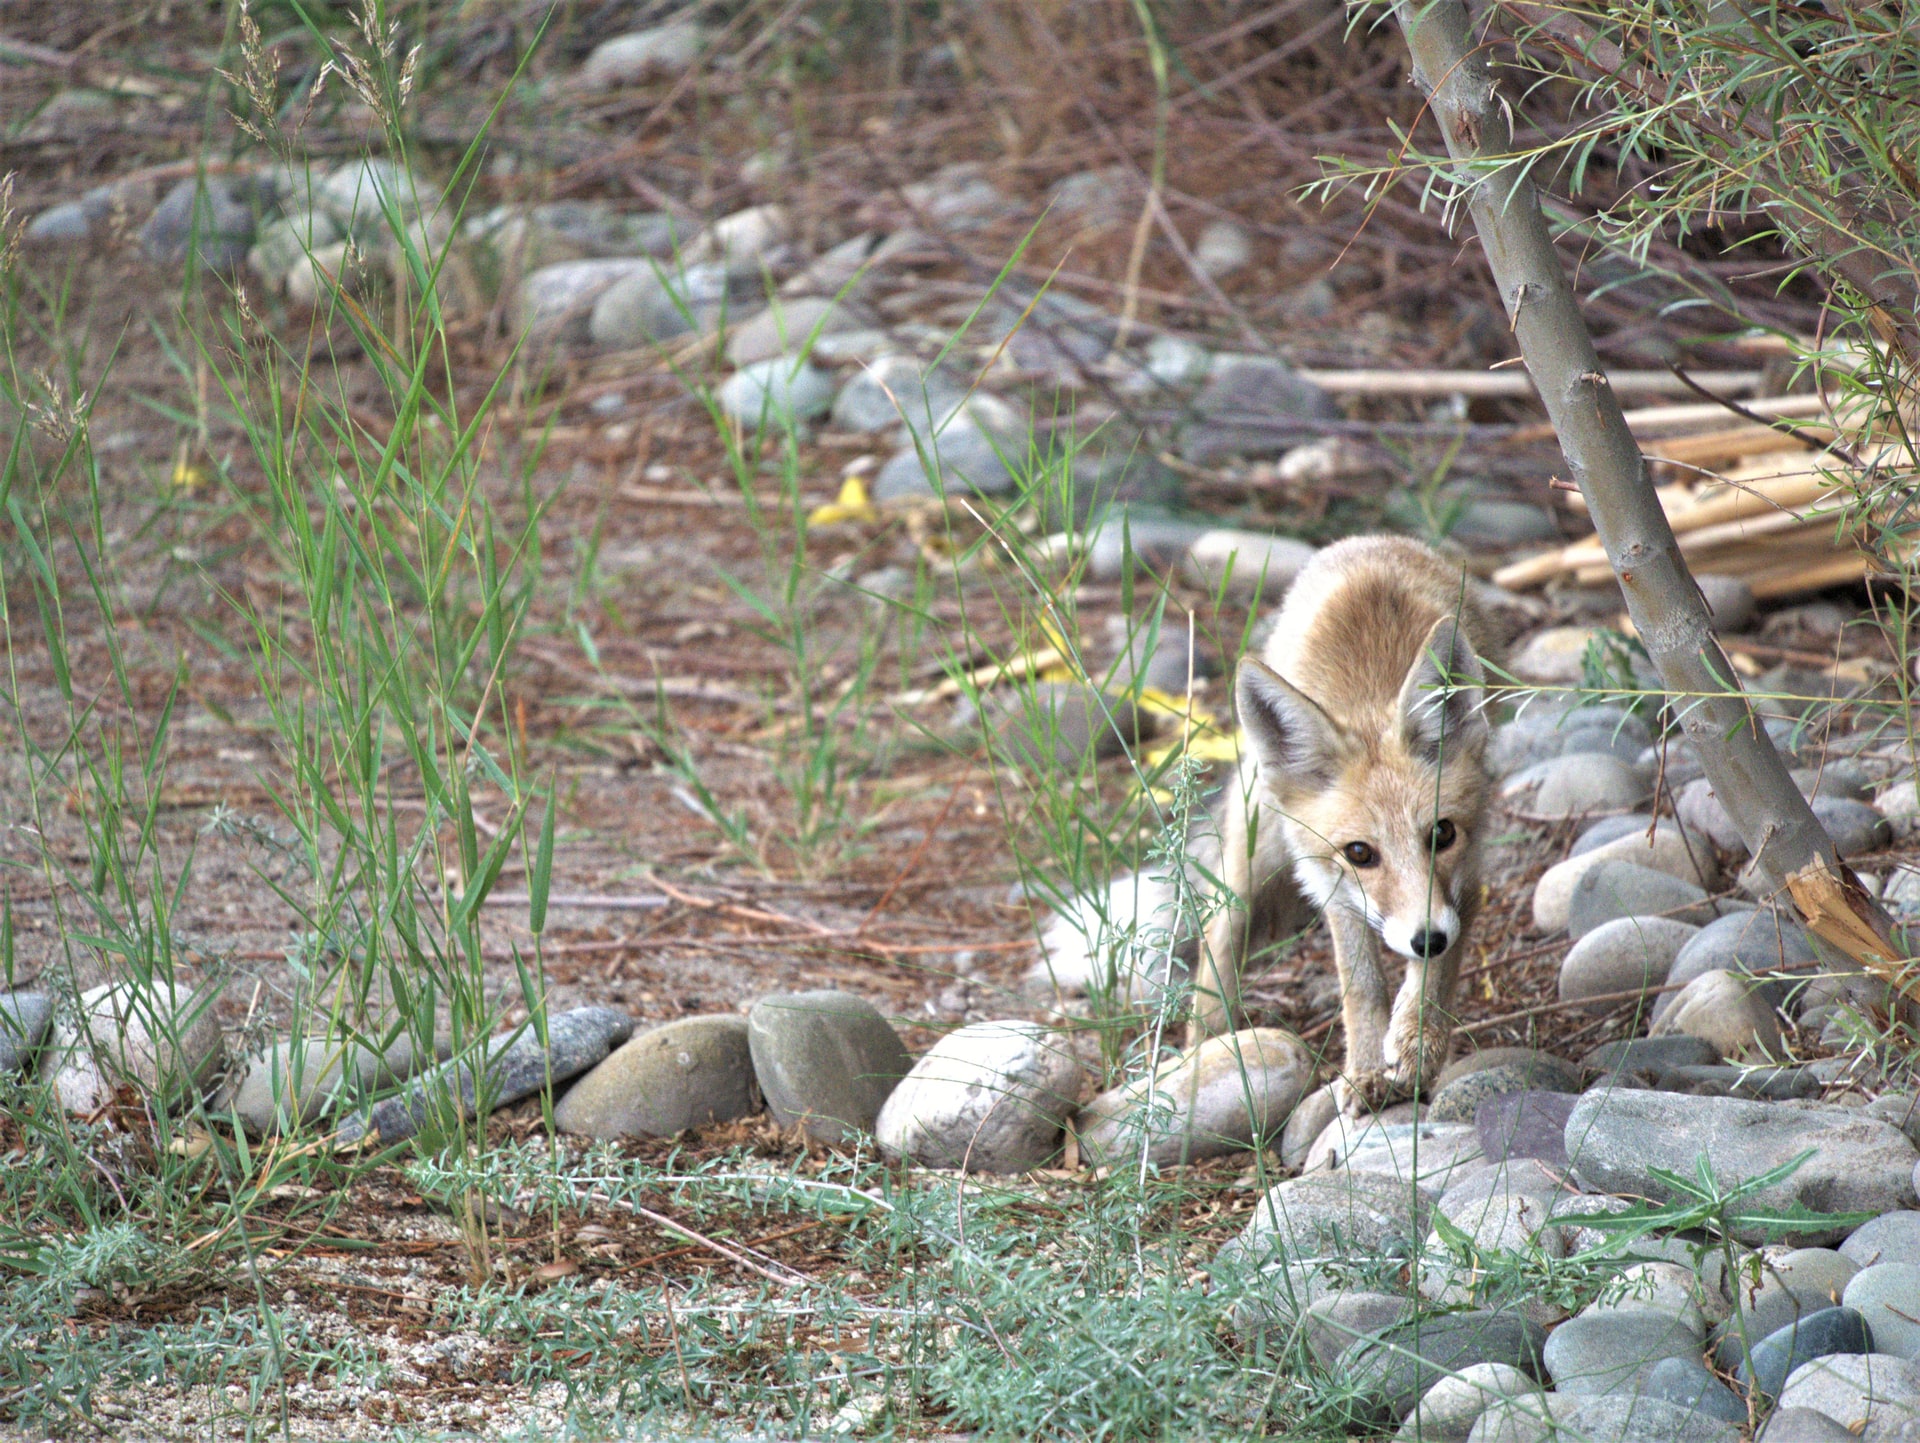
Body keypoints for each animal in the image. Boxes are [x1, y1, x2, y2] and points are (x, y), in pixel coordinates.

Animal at [1191, 535, 1495, 1115]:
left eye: (1441, 834)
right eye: (1360, 853)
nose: (1426, 939)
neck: (1366, 691)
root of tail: (1370, 540)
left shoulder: (1470, 862)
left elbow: (1441, 969)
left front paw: (1417, 1042)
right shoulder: (1328, 883)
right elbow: (1361, 985)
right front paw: (1367, 1069)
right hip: (1255, 847)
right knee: (1218, 937)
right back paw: (1203, 1041)